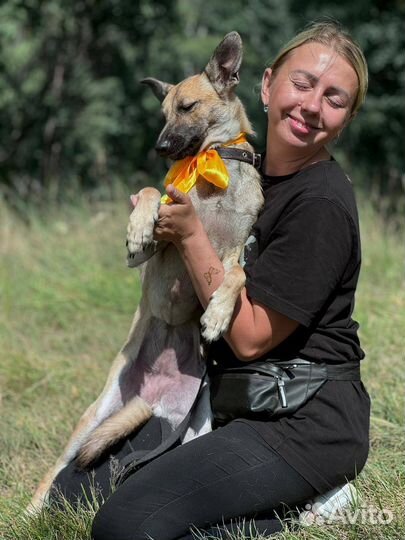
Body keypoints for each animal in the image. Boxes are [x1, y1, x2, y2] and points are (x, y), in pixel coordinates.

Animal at [28, 31, 262, 512]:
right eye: (163, 112)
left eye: (187, 107)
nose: (159, 148)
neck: (212, 163)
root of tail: (156, 398)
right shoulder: (159, 234)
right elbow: (152, 190)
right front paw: (137, 228)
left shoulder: (237, 252)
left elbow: (239, 276)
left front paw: (216, 315)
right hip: (91, 418)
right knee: (54, 472)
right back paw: (29, 511)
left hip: (196, 427)